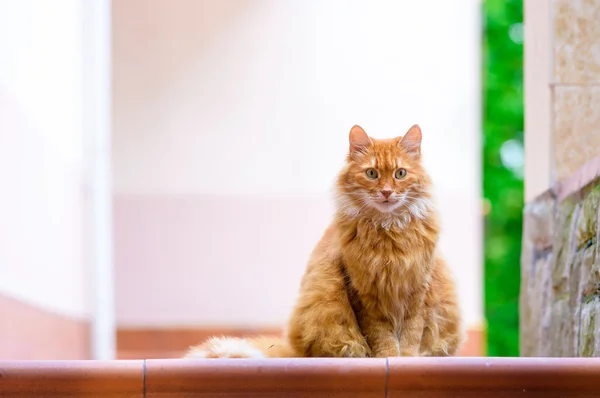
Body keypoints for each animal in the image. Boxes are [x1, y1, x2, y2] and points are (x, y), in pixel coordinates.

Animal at [186, 123, 464, 358]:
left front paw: (407, 359)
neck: (388, 231)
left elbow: (410, 334)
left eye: (400, 173)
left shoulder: (417, 288)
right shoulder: (362, 291)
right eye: (372, 173)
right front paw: (387, 358)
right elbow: (380, 336)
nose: (386, 192)